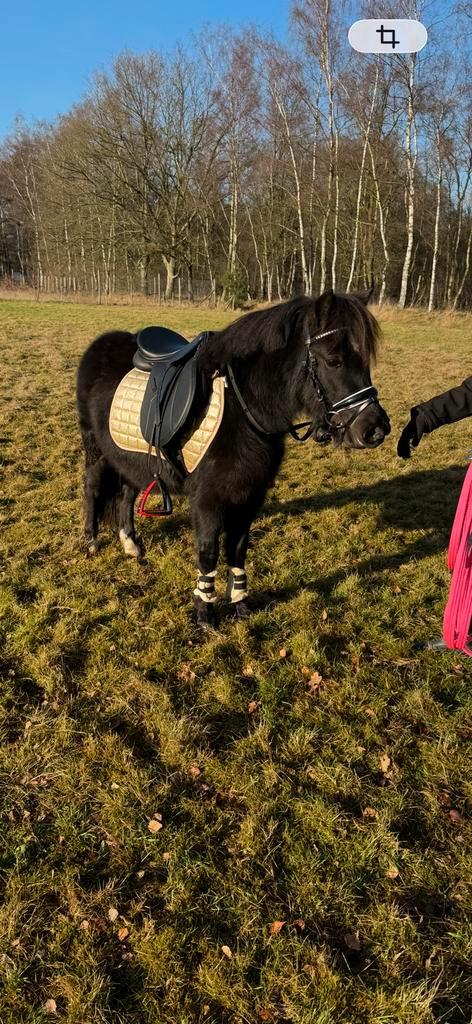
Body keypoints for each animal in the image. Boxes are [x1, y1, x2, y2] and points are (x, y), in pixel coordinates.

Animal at [76, 289, 391, 627]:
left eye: (366, 361)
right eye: (334, 361)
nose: (376, 428)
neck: (244, 410)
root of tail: (100, 344)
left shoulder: (250, 497)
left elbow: (238, 550)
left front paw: (240, 604)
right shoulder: (208, 501)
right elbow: (208, 553)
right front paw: (204, 613)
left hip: (127, 458)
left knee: (126, 493)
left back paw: (130, 543)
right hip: (95, 450)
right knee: (93, 488)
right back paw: (91, 541)